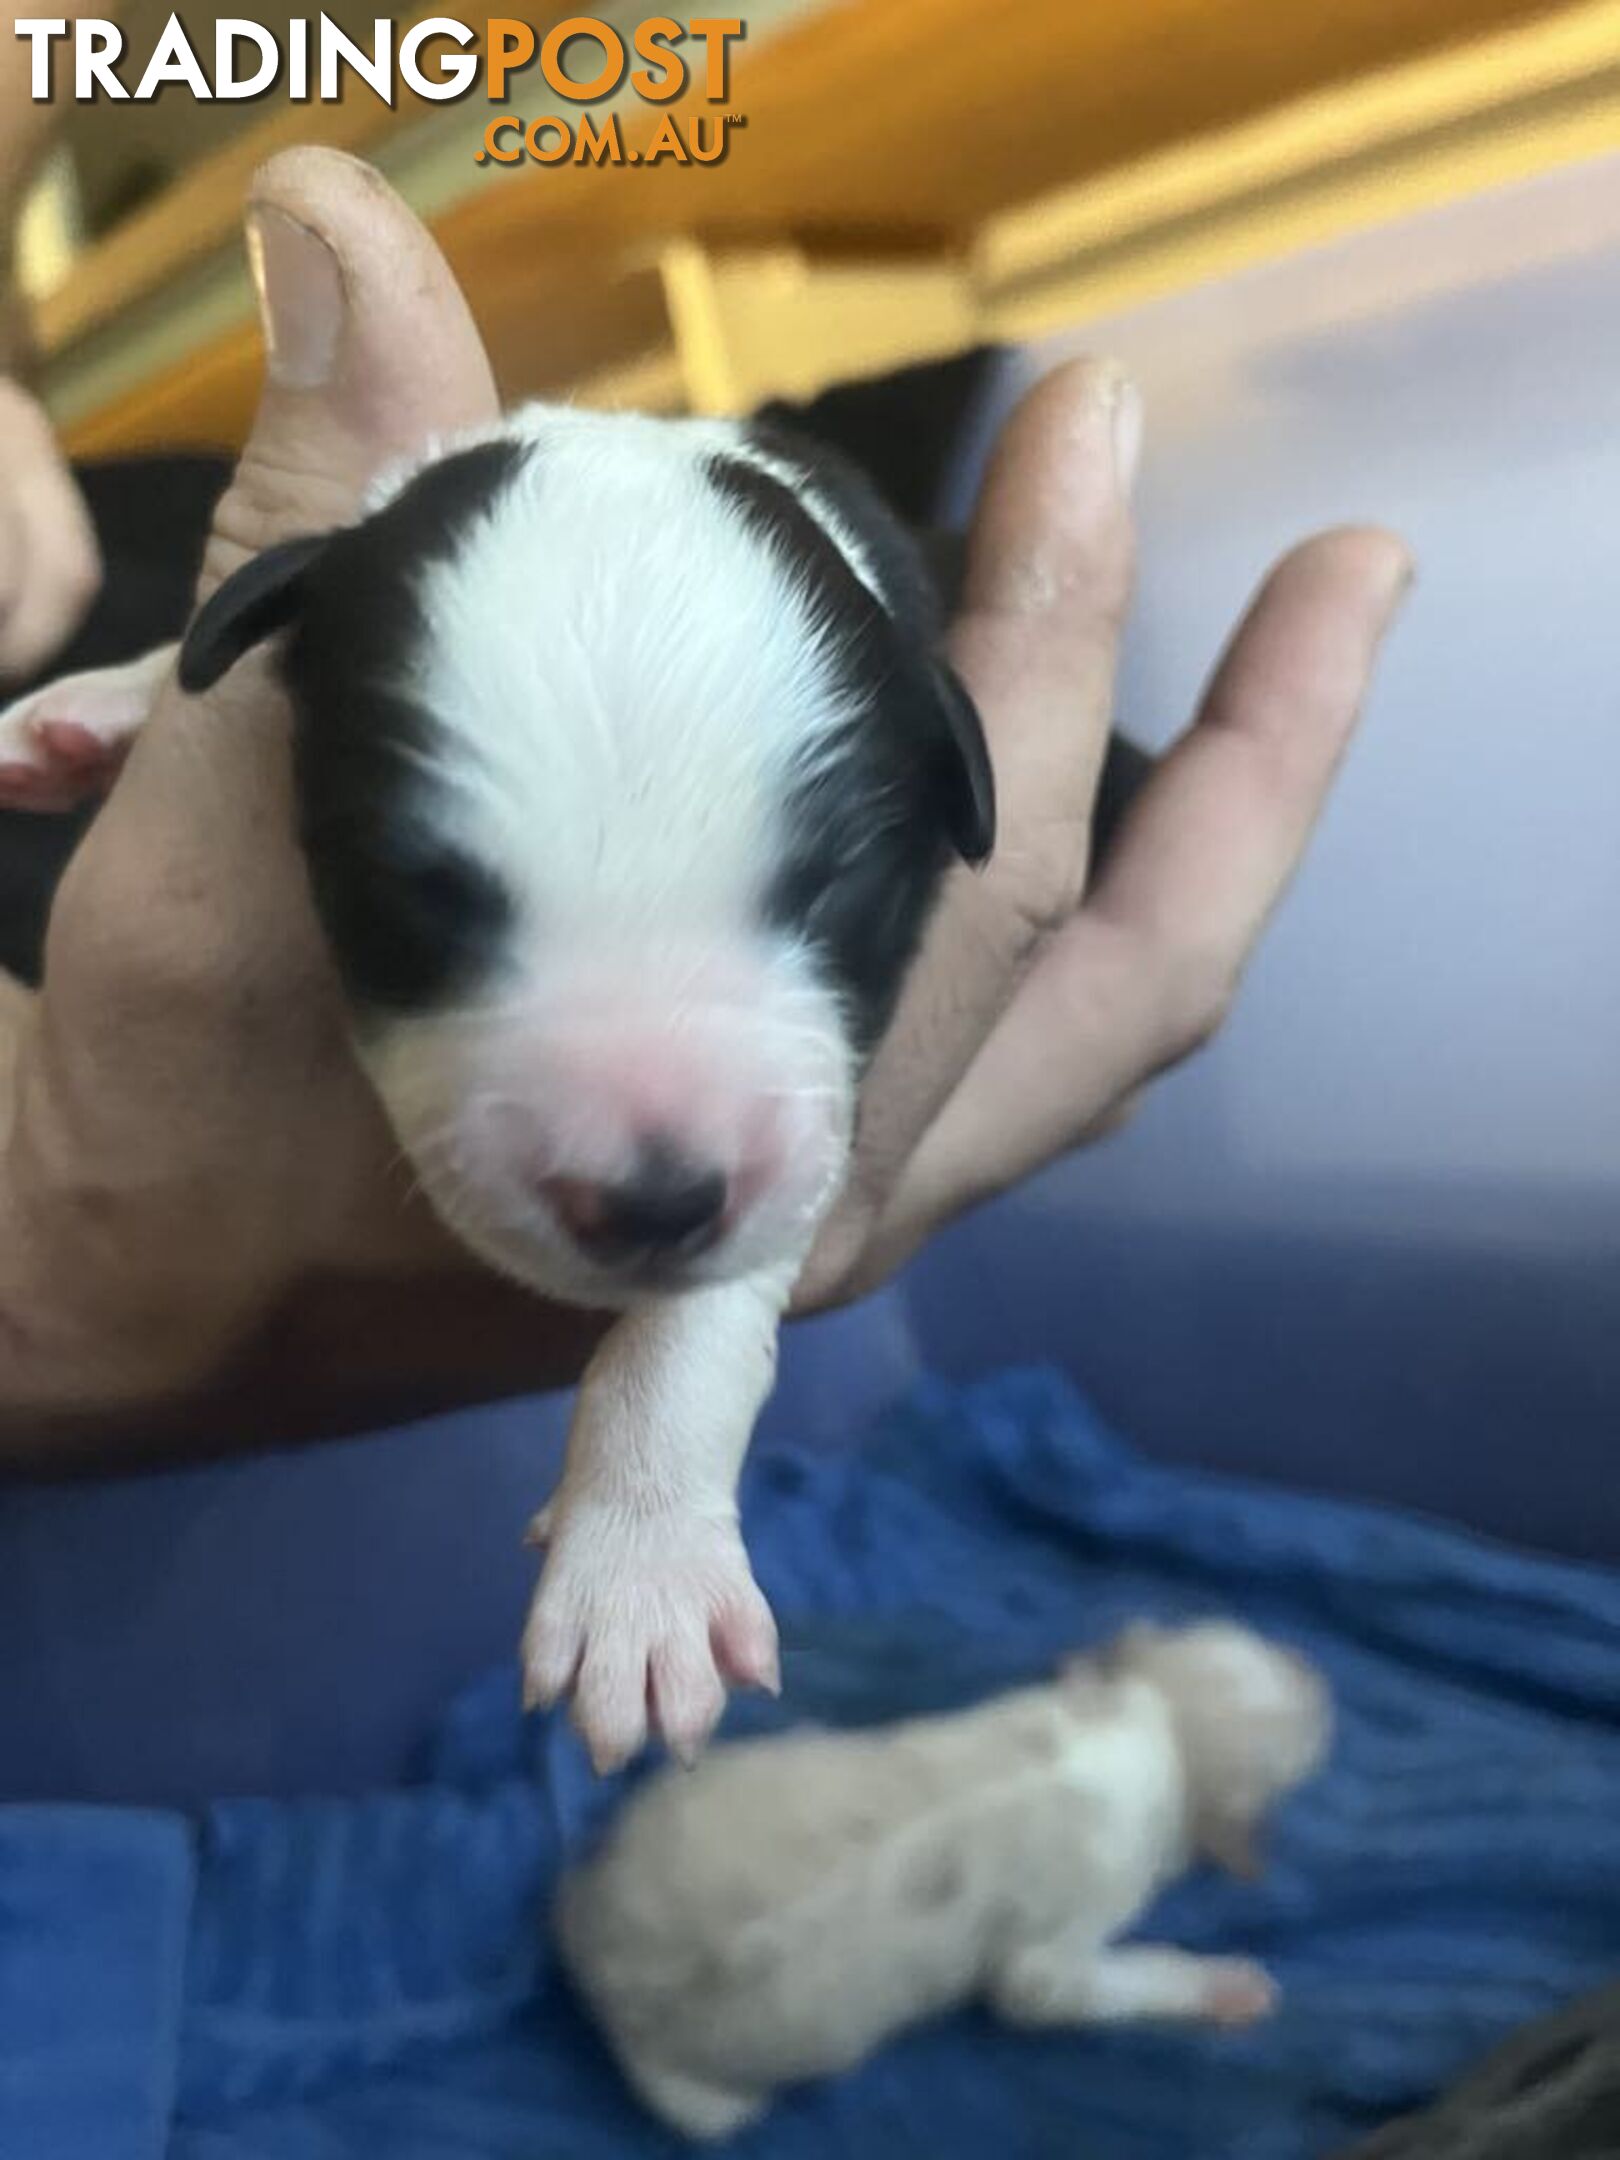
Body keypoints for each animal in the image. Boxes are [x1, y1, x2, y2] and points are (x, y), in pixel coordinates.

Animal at [0, 408, 1140, 1771]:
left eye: (838, 893)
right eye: (405, 901)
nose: (651, 1203)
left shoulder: (823, 1102)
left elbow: (709, 1302)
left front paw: (639, 1570)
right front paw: (101, 699)